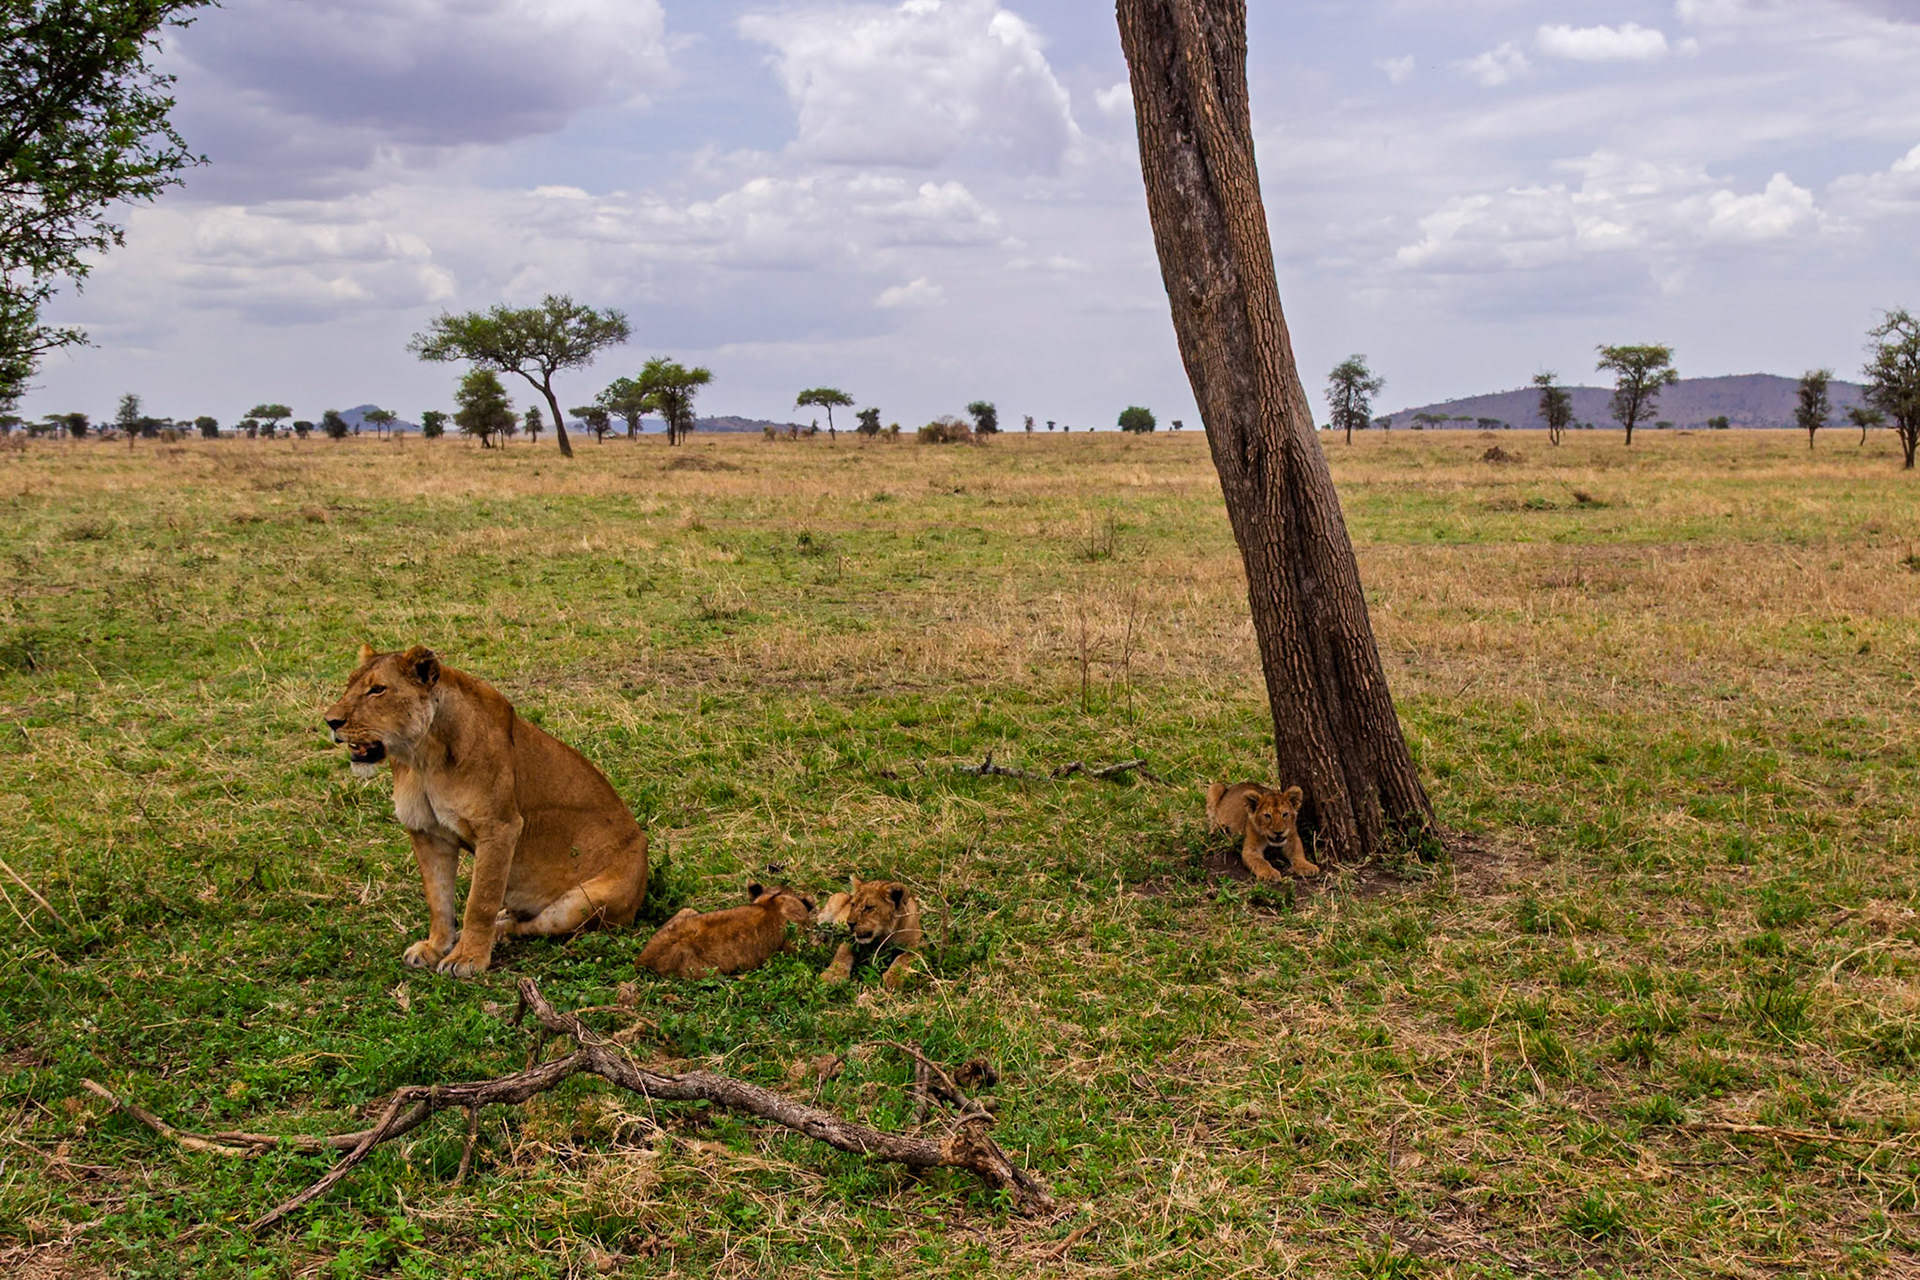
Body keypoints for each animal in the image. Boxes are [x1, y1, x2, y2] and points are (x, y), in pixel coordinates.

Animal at [324, 644, 650, 977]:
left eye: (377, 689)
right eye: (349, 685)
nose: (331, 721)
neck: (423, 758)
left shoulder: (500, 828)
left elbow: (480, 901)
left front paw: (467, 958)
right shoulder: (427, 832)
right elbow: (438, 899)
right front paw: (434, 947)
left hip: (580, 904)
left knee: (532, 926)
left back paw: (498, 932)